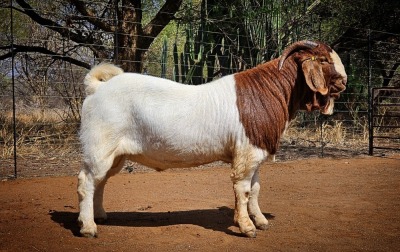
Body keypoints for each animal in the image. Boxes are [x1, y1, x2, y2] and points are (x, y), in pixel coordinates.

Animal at [77, 40, 346, 237]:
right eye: (323, 60)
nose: (344, 81)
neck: (269, 92)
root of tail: (97, 88)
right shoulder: (246, 154)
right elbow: (243, 190)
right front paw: (247, 227)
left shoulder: (256, 155)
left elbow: (256, 190)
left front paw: (260, 221)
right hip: (99, 147)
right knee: (86, 182)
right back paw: (88, 227)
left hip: (115, 155)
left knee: (101, 182)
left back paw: (99, 216)